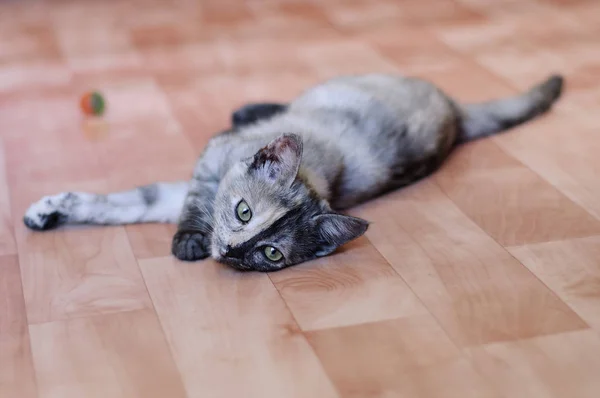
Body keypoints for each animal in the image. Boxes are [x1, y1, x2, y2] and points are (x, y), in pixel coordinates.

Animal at [24, 72, 568, 270]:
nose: (231, 252)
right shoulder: (211, 163)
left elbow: (135, 202)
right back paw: (247, 108)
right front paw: (49, 210)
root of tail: (456, 113)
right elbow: (153, 200)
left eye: (270, 253)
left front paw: (53, 211)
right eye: (244, 211)